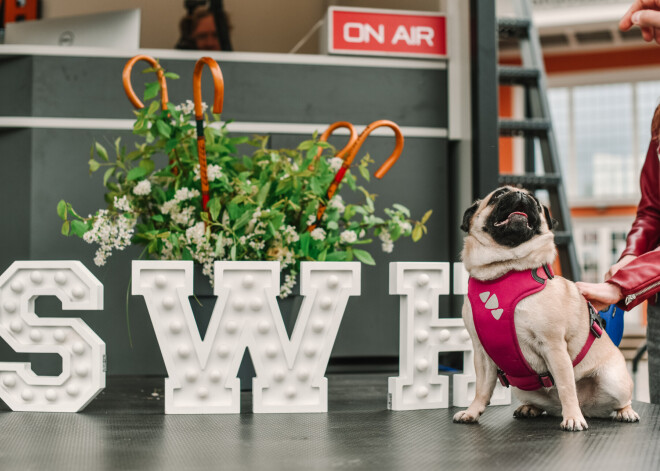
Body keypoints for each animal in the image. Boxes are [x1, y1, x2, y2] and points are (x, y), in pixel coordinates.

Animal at [454, 184, 640, 432]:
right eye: (499, 195)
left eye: (535, 200)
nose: (521, 195)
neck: (505, 270)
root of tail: (586, 406)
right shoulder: (482, 354)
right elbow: (481, 388)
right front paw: (472, 412)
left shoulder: (554, 347)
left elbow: (566, 387)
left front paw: (572, 418)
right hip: (522, 388)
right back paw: (529, 408)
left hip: (614, 381)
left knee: (619, 399)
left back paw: (623, 412)